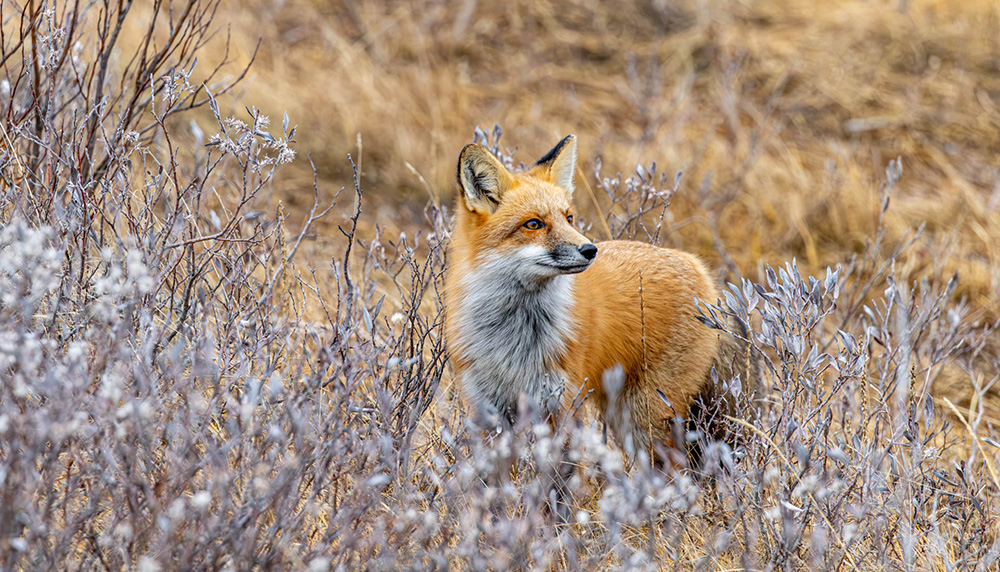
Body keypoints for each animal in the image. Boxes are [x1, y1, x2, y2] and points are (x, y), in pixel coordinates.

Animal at [444, 134, 757, 466]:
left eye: (569, 218)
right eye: (533, 224)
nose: (590, 250)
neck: (513, 339)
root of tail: (699, 268)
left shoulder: (563, 403)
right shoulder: (488, 408)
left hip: (647, 418)